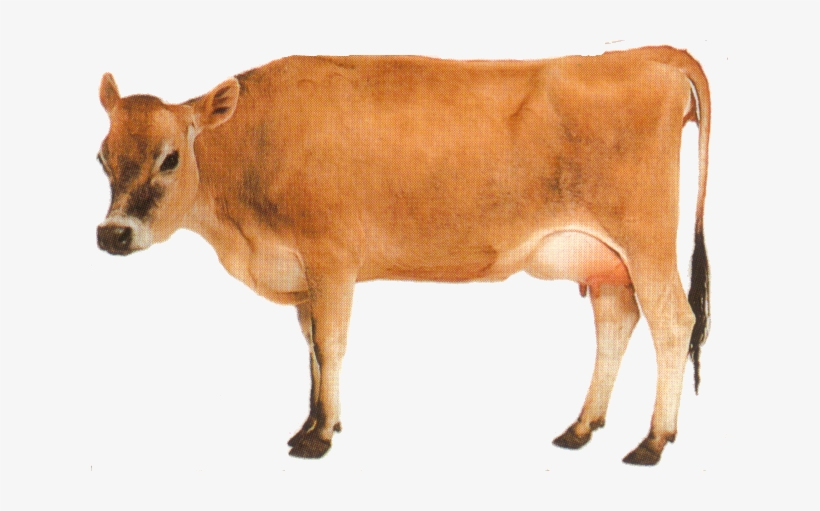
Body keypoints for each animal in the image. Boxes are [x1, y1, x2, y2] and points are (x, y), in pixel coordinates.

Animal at [96, 45, 710, 465]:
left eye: (170, 158)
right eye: (102, 158)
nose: (112, 234)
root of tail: (651, 54)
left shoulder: (332, 259)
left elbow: (331, 346)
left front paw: (321, 436)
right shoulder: (304, 279)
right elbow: (311, 350)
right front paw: (310, 424)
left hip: (647, 242)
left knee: (673, 322)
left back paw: (653, 441)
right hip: (607, 259)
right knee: (616, 322)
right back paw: (581, 427)